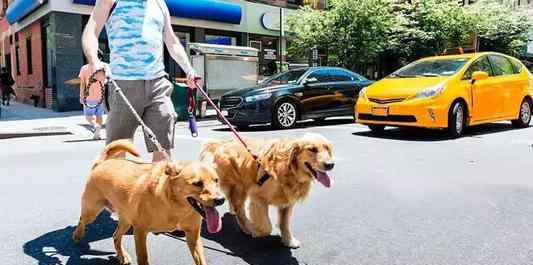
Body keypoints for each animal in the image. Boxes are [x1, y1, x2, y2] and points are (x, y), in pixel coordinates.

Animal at [71, 139, 224, 262]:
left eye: (216, 180)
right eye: (197, 183)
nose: (221, 199)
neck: (176, 207)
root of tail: (103, 163)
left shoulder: (193, 237)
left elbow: (201, 260)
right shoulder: (140, 231)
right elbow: (143, 257)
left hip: (126, 220)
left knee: (115, 236)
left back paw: (122, 256)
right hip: (92, 211)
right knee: (82, 220)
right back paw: (77, 235)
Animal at [200, 132, 332, 248]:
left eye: (327, 149)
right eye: (312, 149)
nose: (331, 164)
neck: (288, 169)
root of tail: (220, 143)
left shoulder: (287, 202)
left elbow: (285, 224)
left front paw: (288, 240)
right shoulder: (257, 196)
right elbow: (266, 227)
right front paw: (256, 230)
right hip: (238, 187)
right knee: (239, 210)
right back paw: (247, 227)